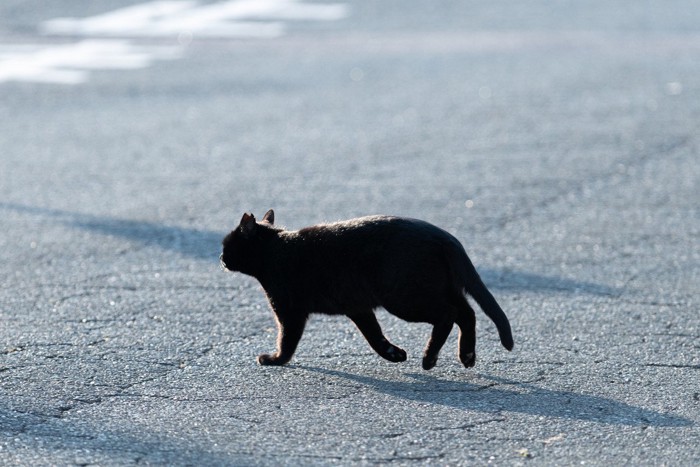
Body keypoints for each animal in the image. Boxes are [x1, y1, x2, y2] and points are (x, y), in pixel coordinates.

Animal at [221, 210, 512, 372]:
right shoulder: (358, 307)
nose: (221, 258)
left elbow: (286, 341)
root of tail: (445, 237)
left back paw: (429, 358)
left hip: (404, 298)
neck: (276, 250)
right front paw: (394, 354)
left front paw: (274, 360)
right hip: (438, 289)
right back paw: (466, 356)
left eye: (227, 245)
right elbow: (374, 335)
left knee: (449, 315)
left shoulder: (289, 311)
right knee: (467, 313)